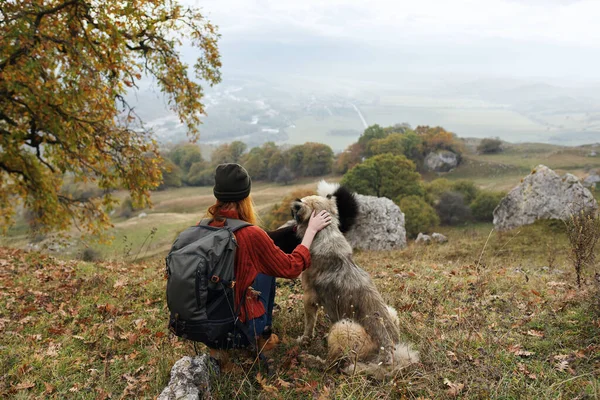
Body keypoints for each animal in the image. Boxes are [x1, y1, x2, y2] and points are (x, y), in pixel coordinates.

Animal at [292, 182, 418, 378]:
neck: (326, 233)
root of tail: (390, 353)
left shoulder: (309, 298)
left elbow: (308, 324)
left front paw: (304, 340)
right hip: (391, 311)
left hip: (341, 328)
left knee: (331, 365)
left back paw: (310, 359)